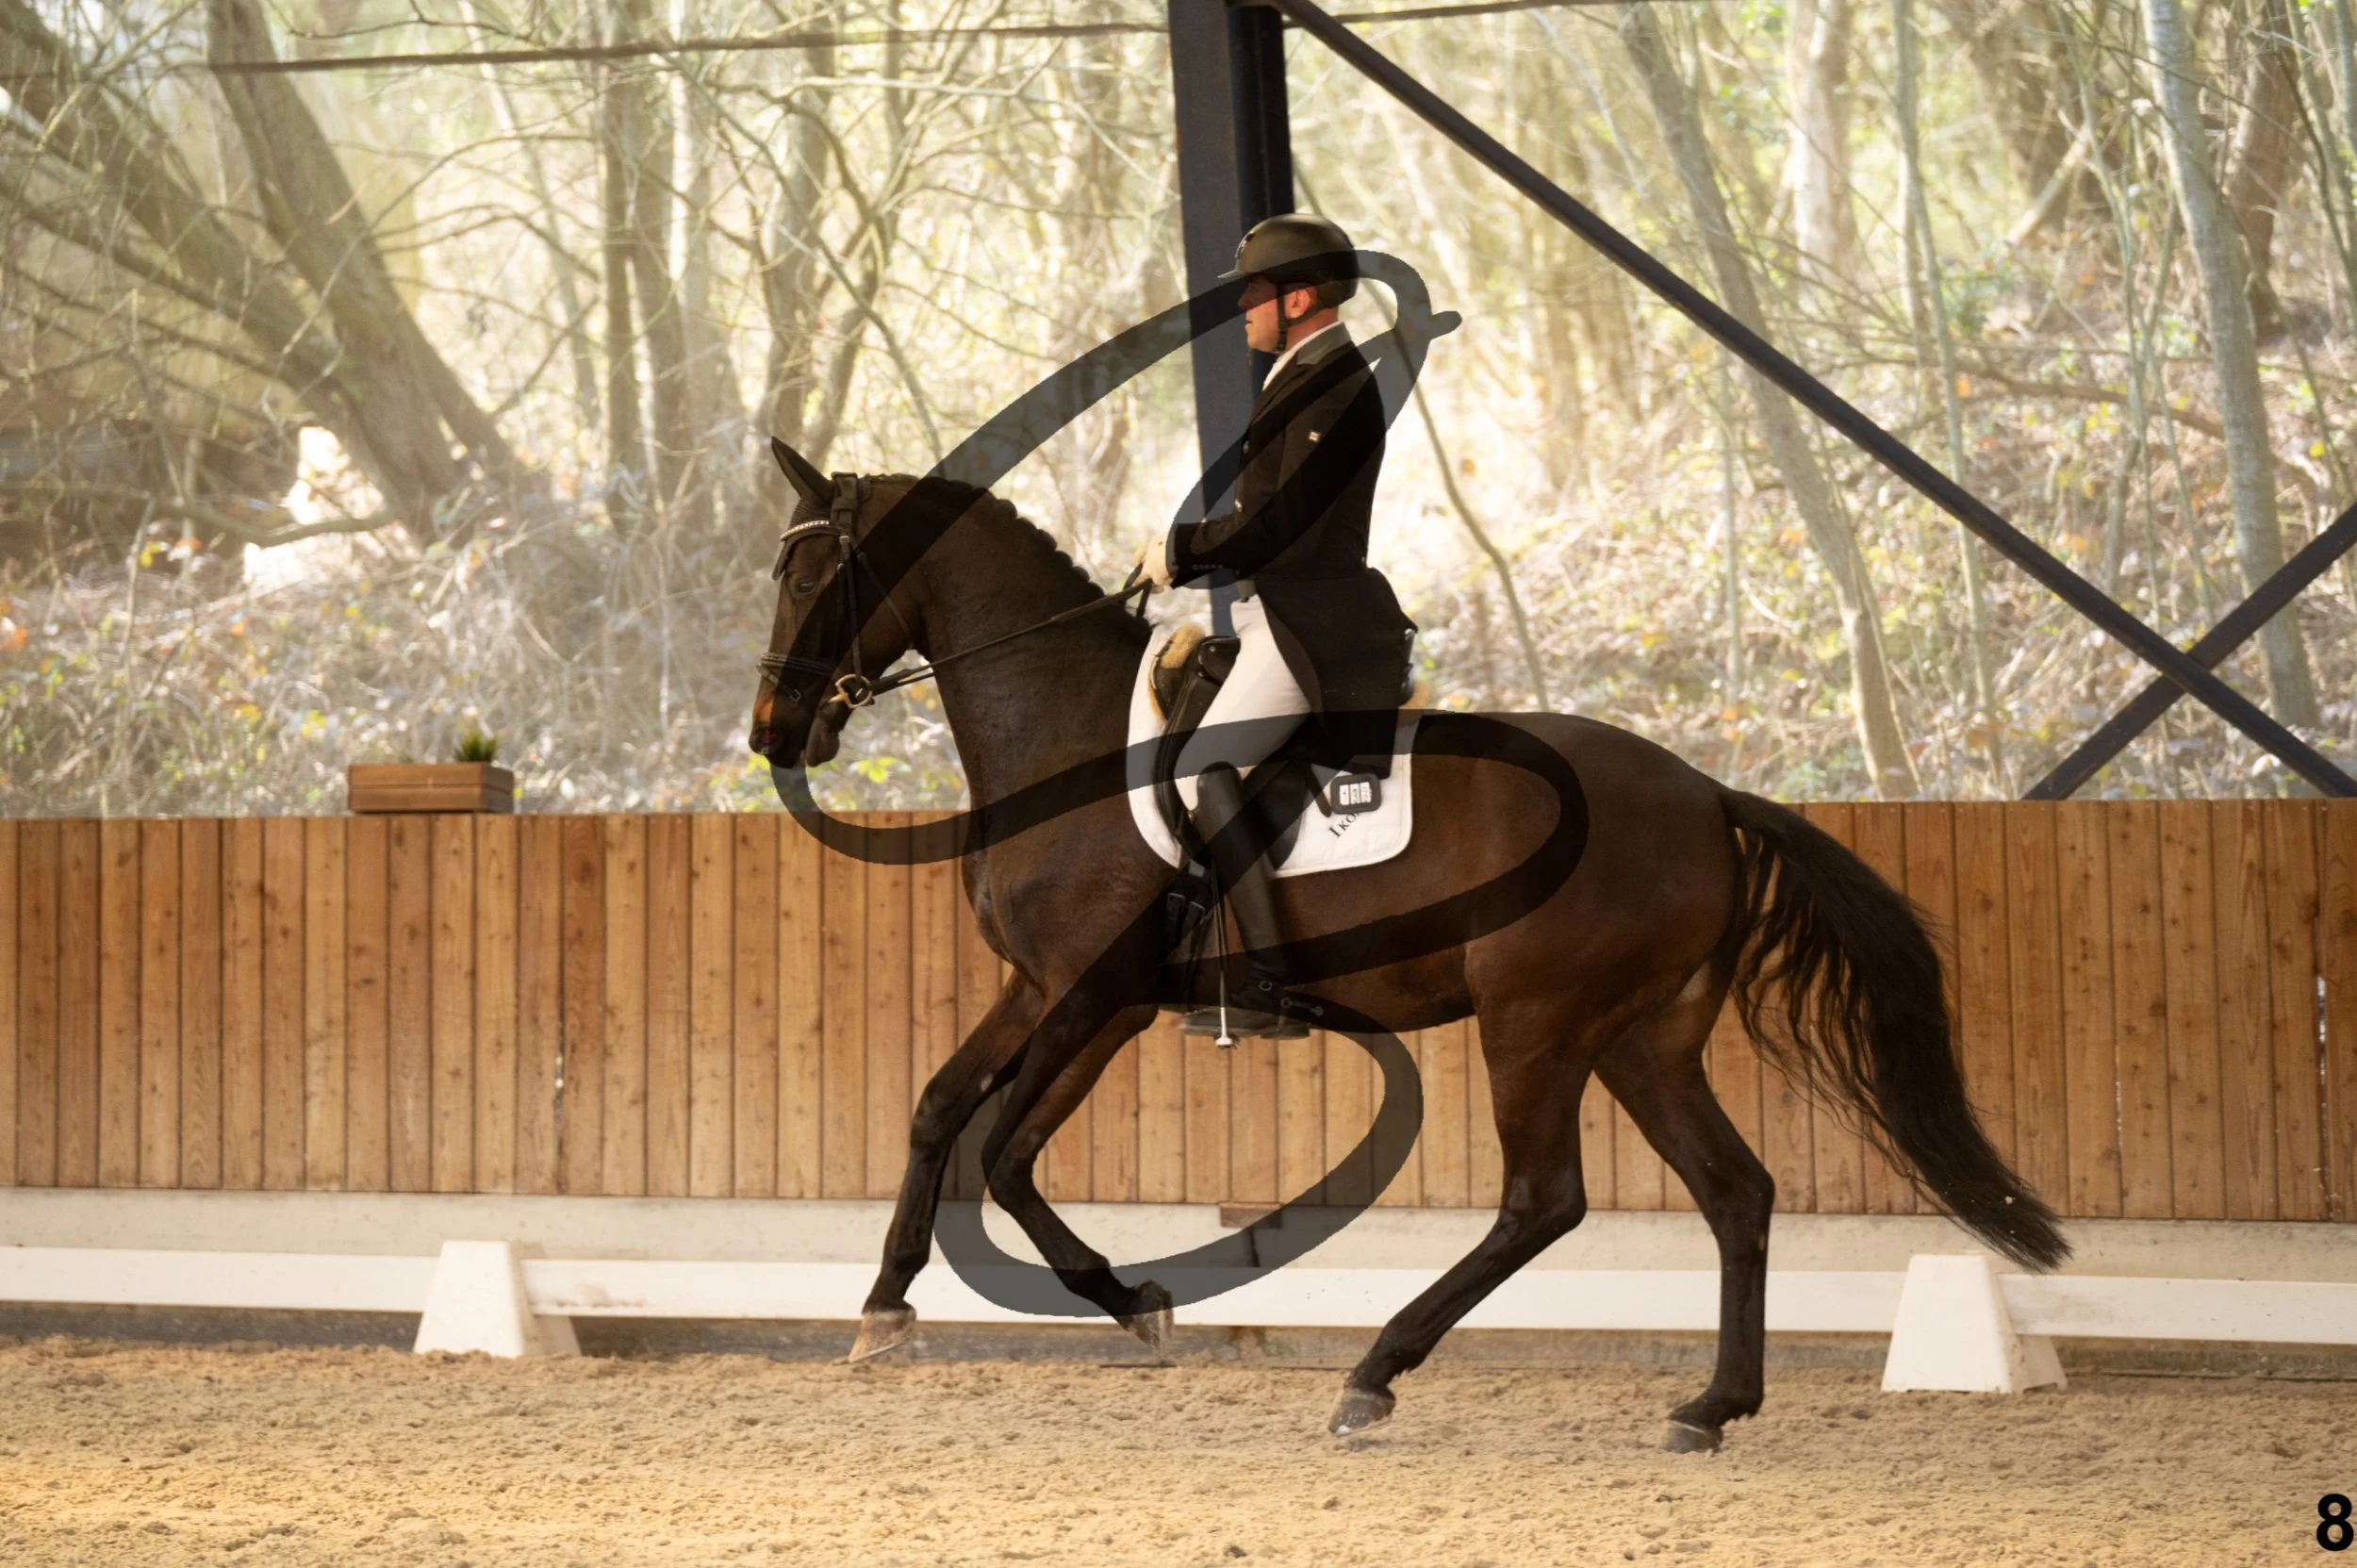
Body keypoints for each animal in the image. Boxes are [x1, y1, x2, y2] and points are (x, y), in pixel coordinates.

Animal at [745, 439, 2068, 1452]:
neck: (1067, 736)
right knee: (1734, 1191)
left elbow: (1006, 1149)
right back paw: (1710, 1406)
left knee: (1541, 1200)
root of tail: (1704, 796)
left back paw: (1376, 1373)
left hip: (1537, 1022)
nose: (770, 730)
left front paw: (1129, 1301)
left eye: (810, 570)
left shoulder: (1094, 993)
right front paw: (890, 1307)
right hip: (1643, 1037)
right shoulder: (1046, 989)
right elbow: (948, 1115)